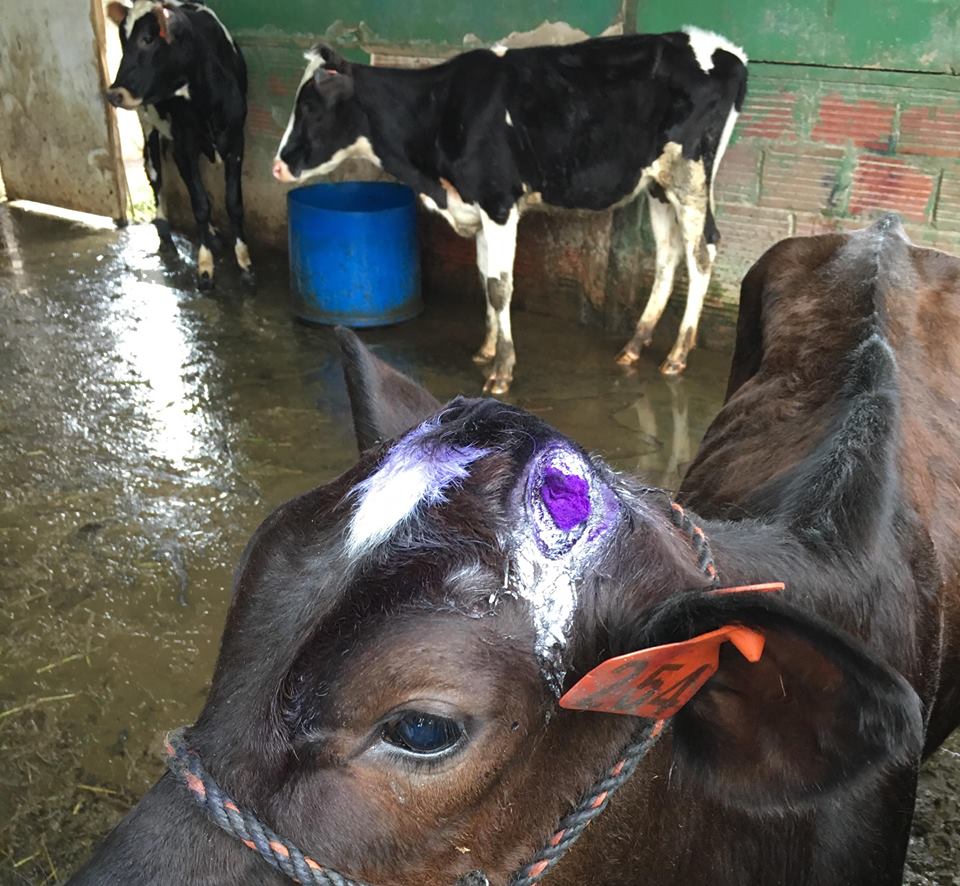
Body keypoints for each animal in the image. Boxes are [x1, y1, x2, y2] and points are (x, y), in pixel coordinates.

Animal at [105, 0, 254, 289]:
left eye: (148, 39)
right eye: (122, 40)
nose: (114, 93)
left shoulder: (235, 141)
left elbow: (233, 202)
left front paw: (244, 262)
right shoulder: (183, 146)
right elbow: (200, 205)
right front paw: (205, 268)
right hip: (148, 124)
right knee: (154, 174)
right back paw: (165, 232)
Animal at [272, 29, 748, 394]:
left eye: (310, 107)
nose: (278, 165)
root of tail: (726, 51)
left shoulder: (498, 203)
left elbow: (501, 288)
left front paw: (501, 372)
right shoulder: (478, 209)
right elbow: (485, 278)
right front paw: (486, 350)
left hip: (690, 176)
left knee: (702, 252)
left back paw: (678, 354)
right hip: (658, 184)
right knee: (668, 256)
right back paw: (634, 345)